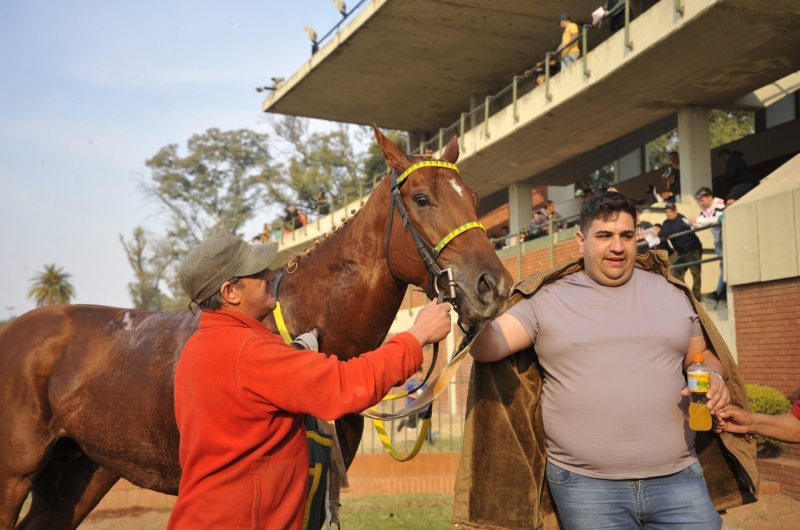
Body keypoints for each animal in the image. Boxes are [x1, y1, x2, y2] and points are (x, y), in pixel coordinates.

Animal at [0, 126, 512, 524]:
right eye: (422, 198)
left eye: (474, 198)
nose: (495, 285)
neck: (301, 324)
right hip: (14, 475)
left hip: (81, 472)